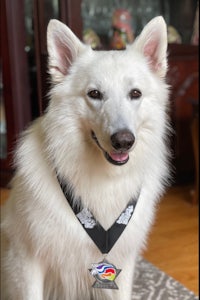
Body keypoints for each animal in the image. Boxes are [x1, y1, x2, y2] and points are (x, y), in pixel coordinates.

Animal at [1, 17, 170, 300]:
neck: (102, 178)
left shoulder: (124, 262)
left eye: (135, 93)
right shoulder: (26, 259)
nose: (124, 141)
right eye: (94, 94)